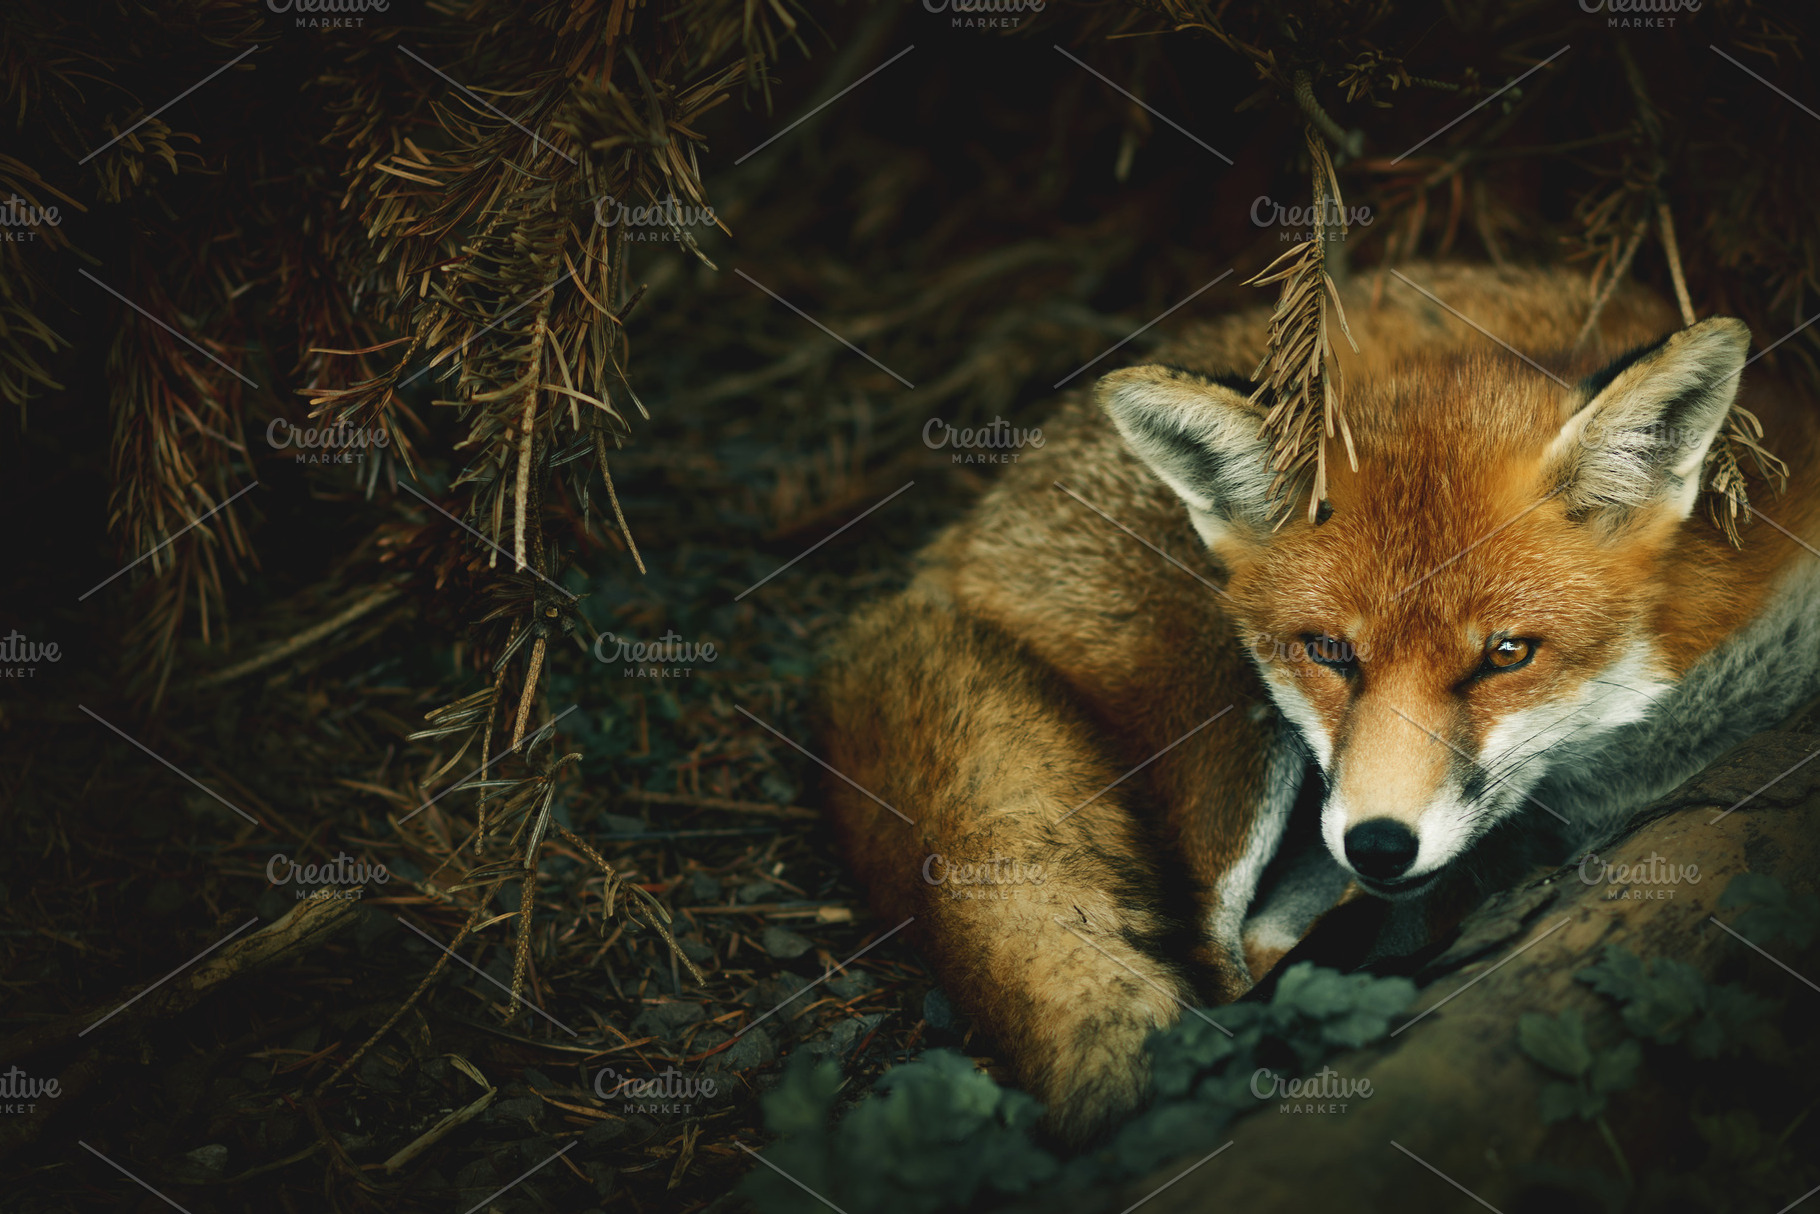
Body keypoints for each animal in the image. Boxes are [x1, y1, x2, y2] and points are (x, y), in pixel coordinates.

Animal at [815, 262, 1820, 1143]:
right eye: (1331, 653)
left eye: (1506, 656)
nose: (1379, 844)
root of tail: (948, 553)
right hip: (1224, 733)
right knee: (1216, 973)